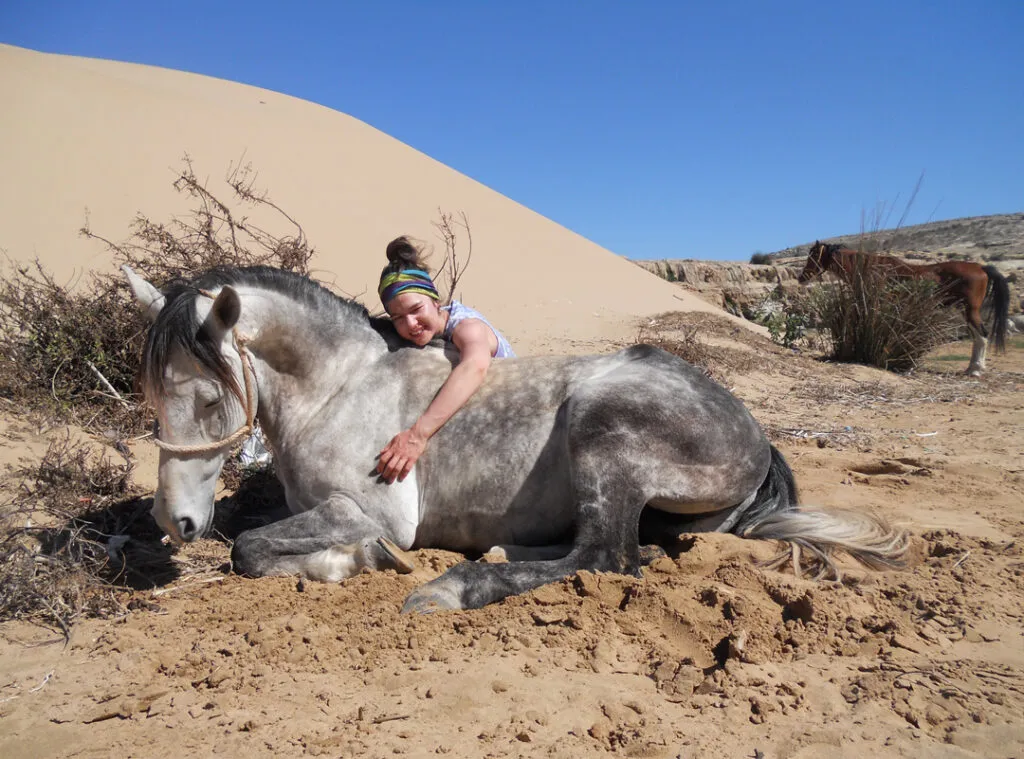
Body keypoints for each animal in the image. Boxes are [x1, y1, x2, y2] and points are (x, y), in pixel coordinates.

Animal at [123, 264, 908, 613]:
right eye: (153, 396)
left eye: (207, 398)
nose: (174, 520)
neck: (339, 387)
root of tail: (756, 435)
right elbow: (255, 542)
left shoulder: (370, 511)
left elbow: (251, 550)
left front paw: (356, 562)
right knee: (620, 549)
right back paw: (498, 552)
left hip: (602, 426)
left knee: (608, 557)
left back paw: (455, 584)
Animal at [798, 241, 1010, 376]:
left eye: (813, 255)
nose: (801, 277)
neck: (871, 268)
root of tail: (980, 268)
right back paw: (971, 368)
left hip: (970, 310)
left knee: (982, 335)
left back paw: (976, 370)